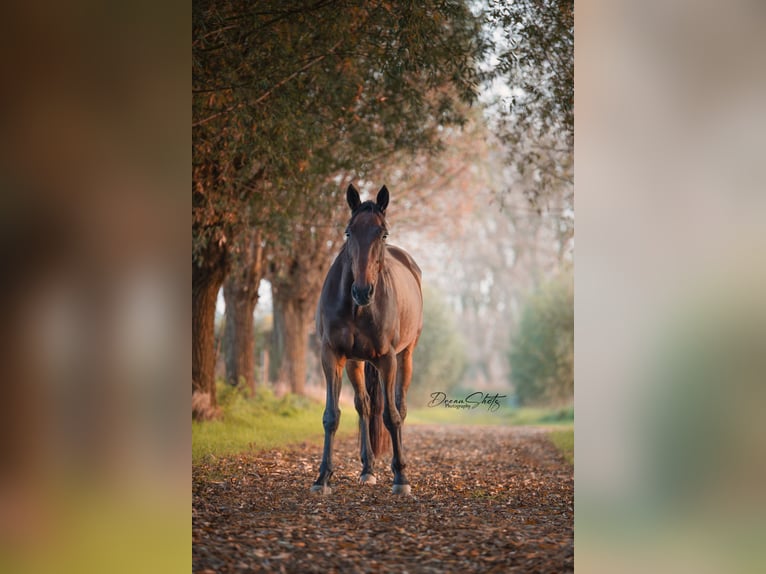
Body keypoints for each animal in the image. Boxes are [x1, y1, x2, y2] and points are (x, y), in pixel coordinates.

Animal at [311, 184, 423, 495]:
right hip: (355, 363)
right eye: (348, 232)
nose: (362, 291)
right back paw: (368, 469)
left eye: (383, 233)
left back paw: (398, 466)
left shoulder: (387, 359)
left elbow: (391, 417)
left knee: (399, 407)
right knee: (364, 405)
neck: (357, 308)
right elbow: (332, 416)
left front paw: (401, 478)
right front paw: (323, 477)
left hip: (406, 356)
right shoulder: (332, 356)